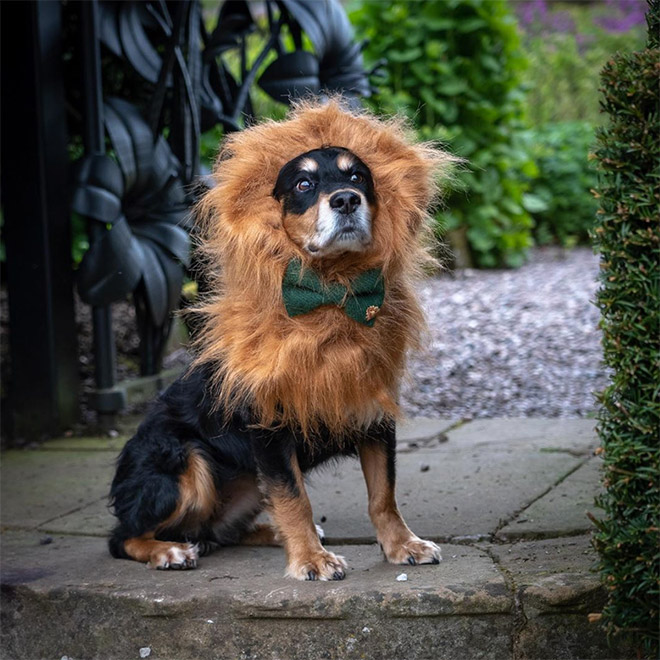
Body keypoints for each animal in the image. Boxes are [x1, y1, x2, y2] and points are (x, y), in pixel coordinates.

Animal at [109, 100, 454, 580]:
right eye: (304, 184)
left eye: (357, 177)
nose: (346, 200)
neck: (330, 295)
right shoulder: (269, 430)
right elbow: (295, 499)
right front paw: (312, 561)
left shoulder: (374, 411)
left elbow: (382, 495)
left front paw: (403, 546)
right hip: (185, 462)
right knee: (123, 536)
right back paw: (170, 551)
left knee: (218, 530)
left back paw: (263, 534)